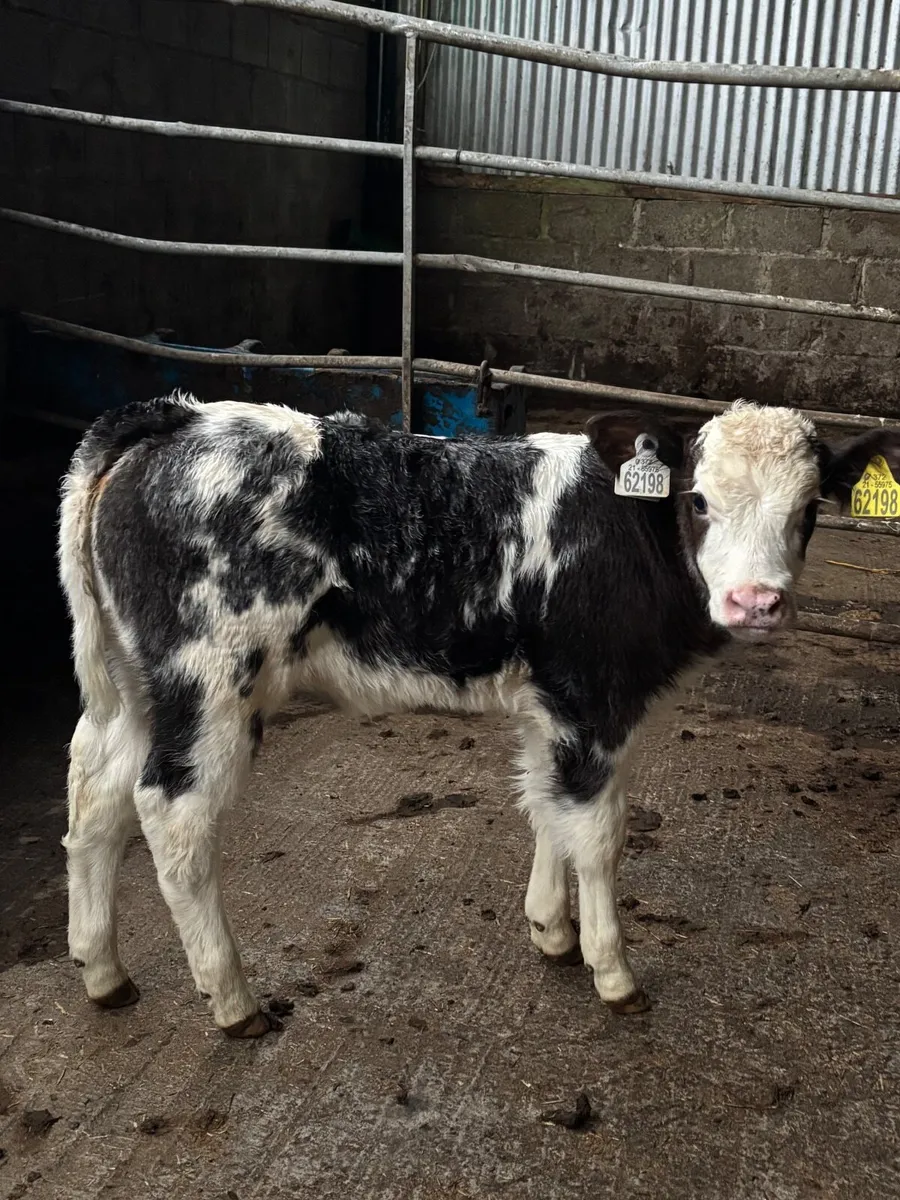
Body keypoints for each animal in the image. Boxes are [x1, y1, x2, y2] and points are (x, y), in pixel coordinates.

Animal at [58, 393, 898, 1037]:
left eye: (808, 509)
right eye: (698, 500)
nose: (757, 601)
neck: (627, 531)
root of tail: (174, 419)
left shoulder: (549, 704)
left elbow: (546, 806)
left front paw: (551, 931)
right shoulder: (590, 698)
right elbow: (598, 834)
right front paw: (612, 970)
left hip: (134, 686)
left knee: (95, 798)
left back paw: (103, 971)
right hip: (208, 680)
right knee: (172, 814)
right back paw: (232, 1000)